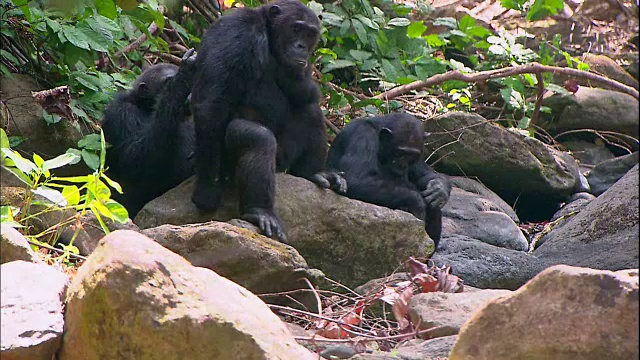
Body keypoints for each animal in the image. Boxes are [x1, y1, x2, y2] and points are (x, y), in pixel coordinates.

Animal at [101, 48, 196, 217]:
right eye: (167, 82)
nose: (190, 95)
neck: (146, 106)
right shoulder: (122, 113)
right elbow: (136, 158)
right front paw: (181, 80)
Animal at [191, 0, 344, 243]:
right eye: (296, 28)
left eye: (310, 34)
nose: (301, 45)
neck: (268, 35)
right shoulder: (236, 30)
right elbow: (212, 104)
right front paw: (206, 191)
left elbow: (305, 92)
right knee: (259, 139)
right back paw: (260, 211)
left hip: (284, 157)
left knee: (310, 112)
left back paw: (314, 173)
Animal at [328, 114, 452, 249]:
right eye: (400, 152)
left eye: (412, 155)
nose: (402, 165)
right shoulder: (361, 135)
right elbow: (355, 179)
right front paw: (416, 201)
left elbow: (425, 174)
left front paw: (439, 188)